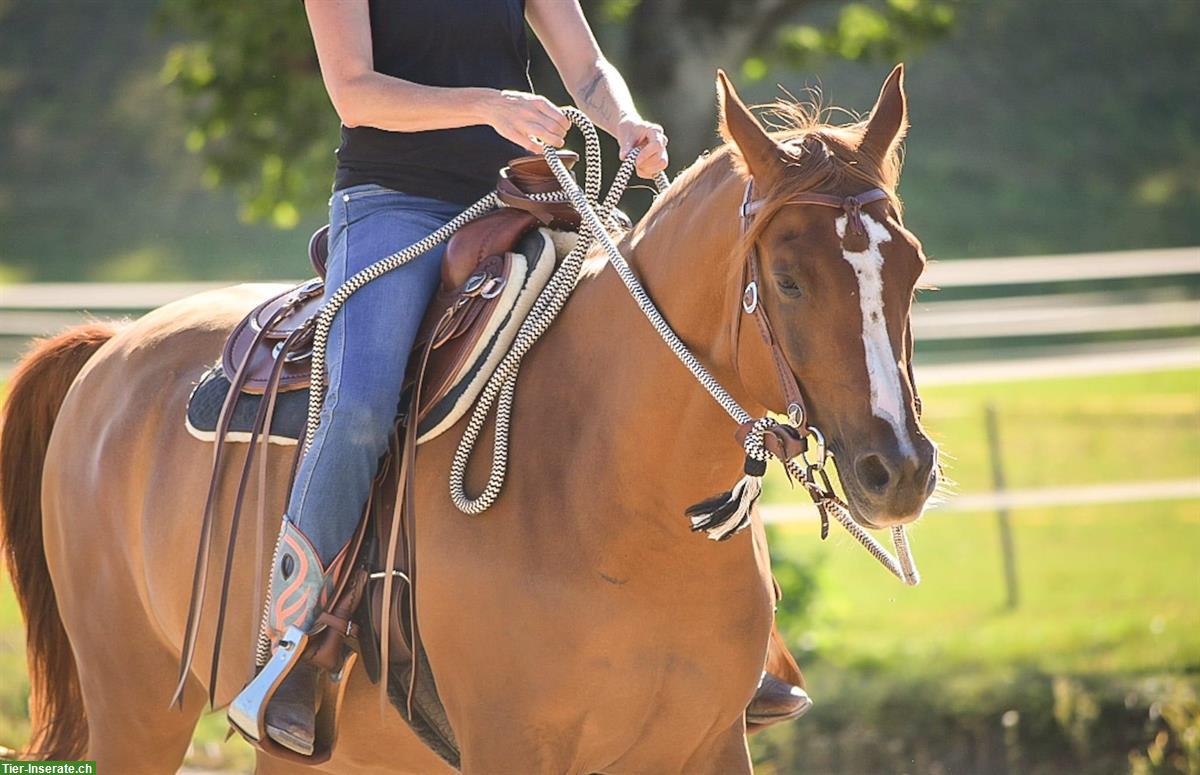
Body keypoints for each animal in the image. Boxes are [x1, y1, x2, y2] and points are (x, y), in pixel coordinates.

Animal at [0, 68, 936, 775]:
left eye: (914, 268)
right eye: (787, 278)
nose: (899, 468)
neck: (613, 485)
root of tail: (112, 345)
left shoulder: (705, 744)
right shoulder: (511, 745)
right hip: (133, 704)